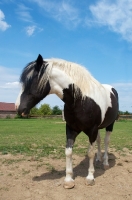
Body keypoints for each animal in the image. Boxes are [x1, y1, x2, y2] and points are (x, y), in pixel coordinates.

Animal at [15, 54, 118, 189]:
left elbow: (90, 152)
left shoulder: (92, 130)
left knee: (106, 141)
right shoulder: (71, 129)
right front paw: (69, 180)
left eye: (31, 81)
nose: (18, 108)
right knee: (100, 141)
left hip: (110, 125)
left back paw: (105, 162)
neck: (80, 100)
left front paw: (90, 177)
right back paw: (98, 159)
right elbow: (68, 152)